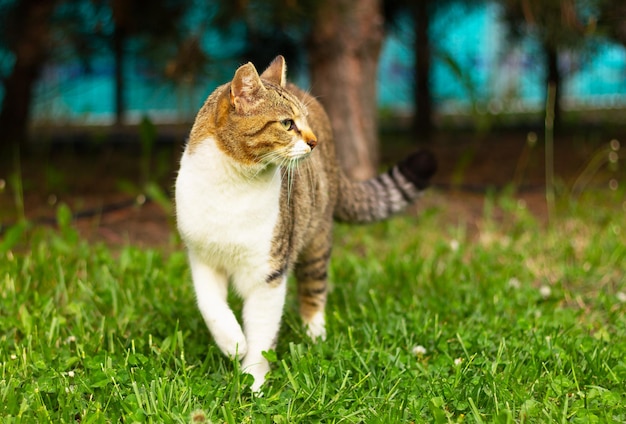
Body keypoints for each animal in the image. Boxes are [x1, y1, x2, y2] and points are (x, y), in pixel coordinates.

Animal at [173, 55, 432, 390]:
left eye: (303, 121)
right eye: (287, 124)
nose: (313, 141)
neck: (232, 186)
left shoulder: (269, 271)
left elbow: (261, 334)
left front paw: (253, 382)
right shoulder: (202, 257)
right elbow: (210, 306)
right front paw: (232, 343)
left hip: (316, 238)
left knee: (315, 285)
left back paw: (315, 333)